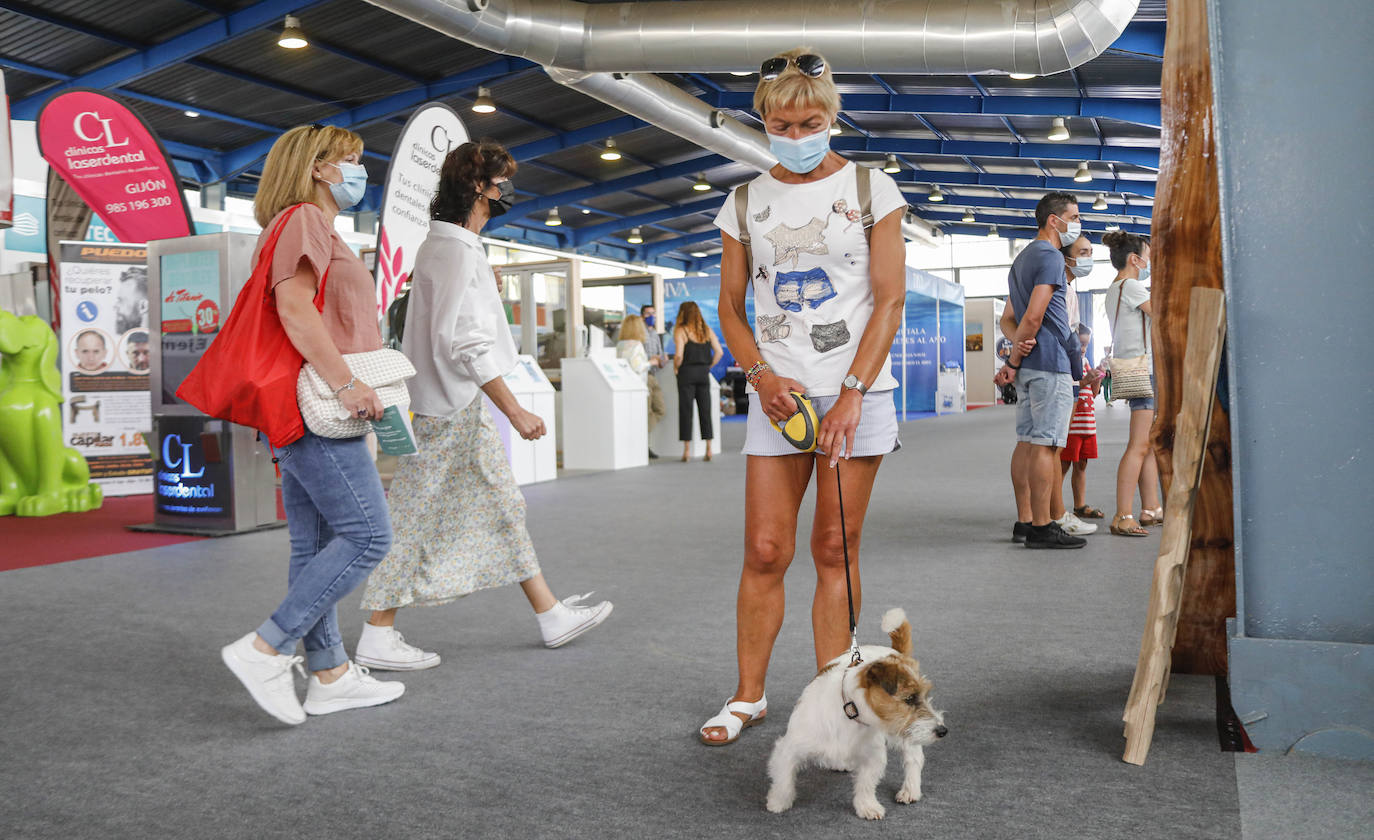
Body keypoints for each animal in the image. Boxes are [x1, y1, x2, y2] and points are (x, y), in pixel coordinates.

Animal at [763, 610, 945, 819]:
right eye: (909, 699)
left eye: (925, 696)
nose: (942, 730)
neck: (849, 713)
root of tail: (893, 651)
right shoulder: (789, 749)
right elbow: (783, 779)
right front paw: (778, 802)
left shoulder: (873, 756)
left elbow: (866, 784)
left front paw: (867, 806)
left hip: (905, 734)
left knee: (914, 758)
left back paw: (910, 790)